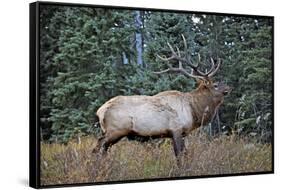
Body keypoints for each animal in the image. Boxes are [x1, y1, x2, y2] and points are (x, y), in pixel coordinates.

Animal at [92, 35, 230, 160]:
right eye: (215, 85)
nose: (228, 88)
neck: (193, 110)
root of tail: (100, 111)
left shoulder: (181, 133)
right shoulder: (176, 129)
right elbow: (180, 156)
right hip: (115, 130)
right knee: (98, 147)